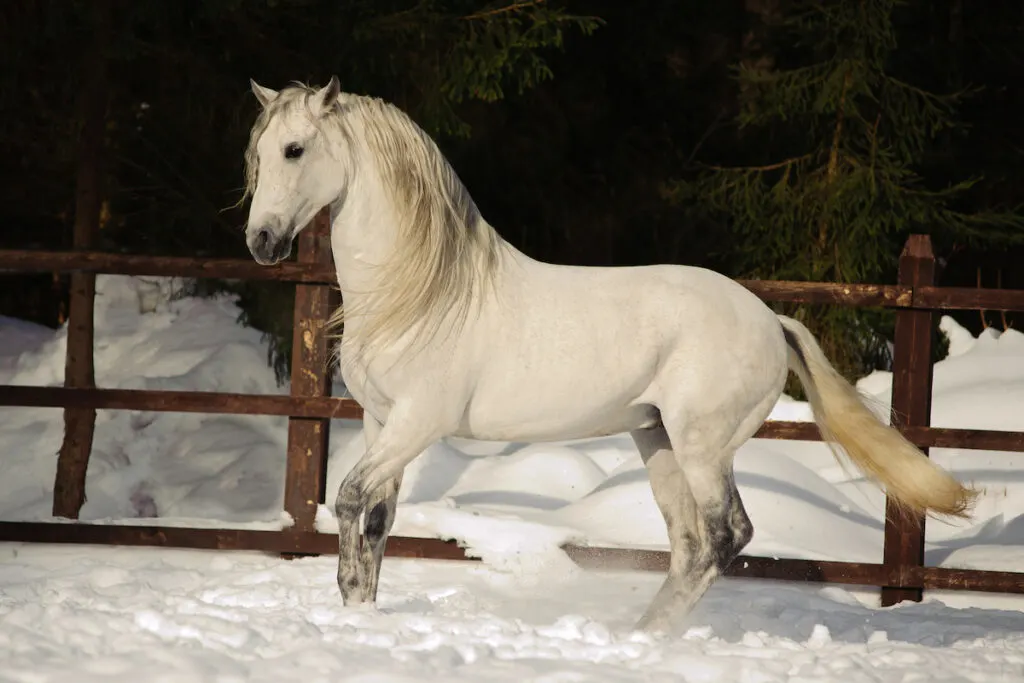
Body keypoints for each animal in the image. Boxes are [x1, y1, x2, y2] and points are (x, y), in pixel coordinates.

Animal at [241, 77, 974, 634]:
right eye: (259, 154)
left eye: (295, 149)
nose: (261, 242)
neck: (423, 293)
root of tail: (769, 319)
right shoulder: (380, 420)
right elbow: (375, 519)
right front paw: (358, 613)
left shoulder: (419, 422)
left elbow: (348, 498)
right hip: (657, 440)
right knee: (689, 543)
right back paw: (641, 633)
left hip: (703, 445)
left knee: (725, 536)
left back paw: (651, 636)